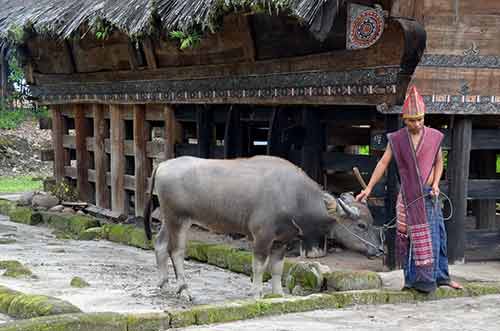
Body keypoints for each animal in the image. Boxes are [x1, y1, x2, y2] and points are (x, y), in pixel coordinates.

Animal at [145, 157, 382, 300]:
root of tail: (163, 164)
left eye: (372, 222)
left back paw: (164, 284)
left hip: (168, 219)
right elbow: (259, 266)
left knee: (160, 244)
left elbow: (276, 268)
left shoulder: (283, 240)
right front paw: (256, 293)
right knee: (176, 251)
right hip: (179, 219)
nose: (379, 250)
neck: (295, 196)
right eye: (361, 225)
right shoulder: (262, 236)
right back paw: (184, 290)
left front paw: (278, 294)